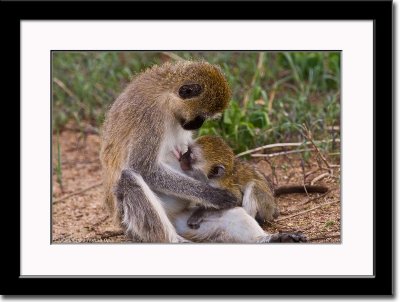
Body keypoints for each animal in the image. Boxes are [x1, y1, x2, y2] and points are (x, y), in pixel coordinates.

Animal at [181, 135, 328, 229]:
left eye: (190, 155)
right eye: (187, 150)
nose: (181, 157)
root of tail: (274, 207)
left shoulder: (221, 185)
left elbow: (235, 200)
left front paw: (199, 213)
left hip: (267, 207)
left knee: (254, 185)